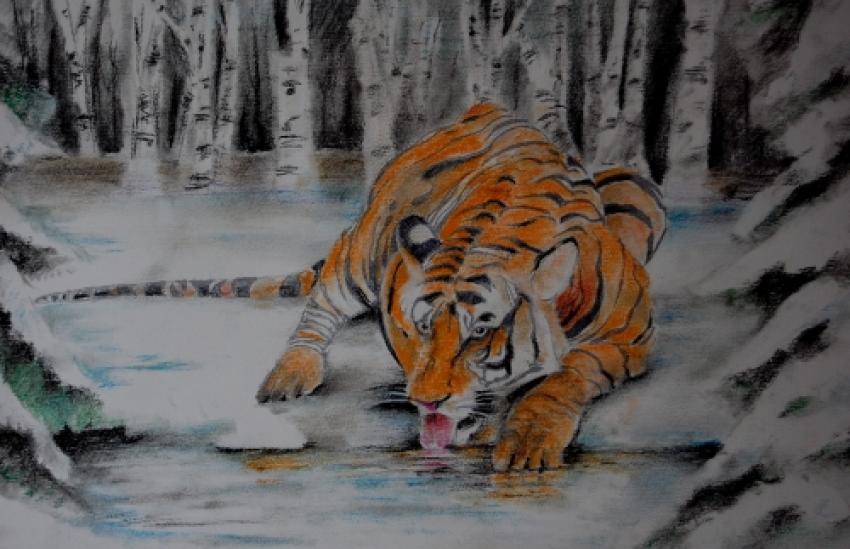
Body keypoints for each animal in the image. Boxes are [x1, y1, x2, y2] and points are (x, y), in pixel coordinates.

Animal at [39, 102, 666, 471]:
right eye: (420, 329)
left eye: (478, 333)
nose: (425, 400)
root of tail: (482, 109)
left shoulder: (629, 339)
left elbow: (565, 376)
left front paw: (527, 439)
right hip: (365, 246)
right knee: (321, 305)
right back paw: (288, 374)